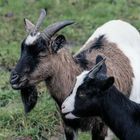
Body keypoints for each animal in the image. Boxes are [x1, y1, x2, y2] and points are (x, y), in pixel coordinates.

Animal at [10, 9, 140, 140]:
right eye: (22, 49)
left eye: (42, 54)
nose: (13, 79)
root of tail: (119, 21)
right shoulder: (67, 125)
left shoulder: (102, 129)